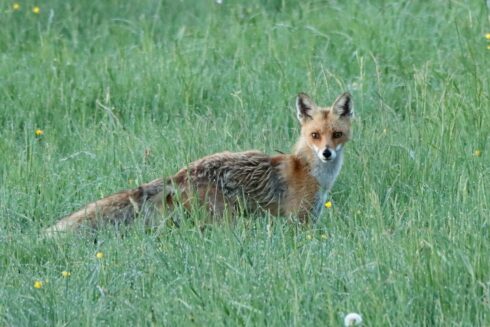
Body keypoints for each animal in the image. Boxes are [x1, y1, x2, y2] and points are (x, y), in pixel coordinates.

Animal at [45, 92, 352, 236]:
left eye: (336, 134)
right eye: (315, 135)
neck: (310, 171)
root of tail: (181, 173)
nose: (327, 153)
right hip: (223, 221)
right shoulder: (298, 222)